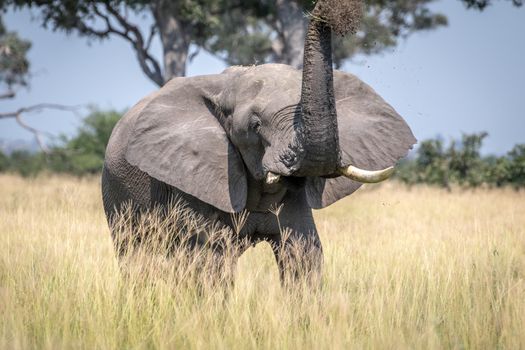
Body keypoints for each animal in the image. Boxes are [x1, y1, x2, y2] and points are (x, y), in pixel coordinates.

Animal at [101, 0, 414, 284]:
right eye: (255, 126)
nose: (329, 11)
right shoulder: (192, 181)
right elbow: (211, 260)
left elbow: (304, 255)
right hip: (117, 193)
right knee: (138, 256)